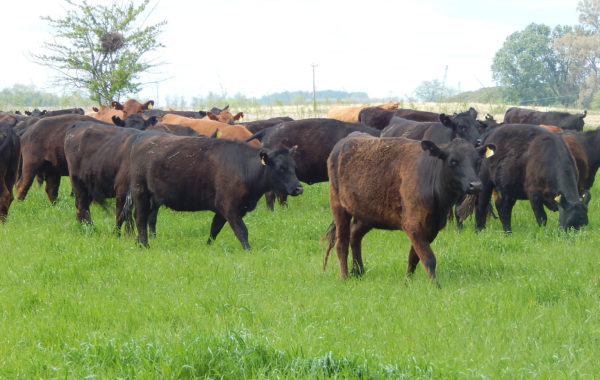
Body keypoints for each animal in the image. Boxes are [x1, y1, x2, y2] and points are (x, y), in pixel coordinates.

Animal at [122, 134, 302, 249]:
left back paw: (138, 242)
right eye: (280, 168)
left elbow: (214, 229)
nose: (299, 188)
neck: (243, 167)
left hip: (153, 199)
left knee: (144, 219)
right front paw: (248, 250)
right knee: (140, 219)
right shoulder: (229, 207)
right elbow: (241, 231)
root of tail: (142, 140)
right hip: (141, 193)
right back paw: (144, 245)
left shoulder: (223, 210)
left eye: (294, 166)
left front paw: (207, 246)